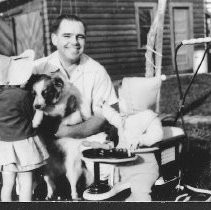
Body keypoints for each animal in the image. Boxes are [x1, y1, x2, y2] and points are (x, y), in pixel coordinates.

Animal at [25, 71, 116, 200]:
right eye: (34, 94)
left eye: (45, 92)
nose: (36, 105)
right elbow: (41, 111)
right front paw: (36, 119)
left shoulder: (63, 108)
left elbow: (45, 110)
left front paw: (37, 119)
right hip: (46, 170)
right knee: (51, 183)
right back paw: (49, 195)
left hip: (72, 168)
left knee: (72, 184)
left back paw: (74, 196)